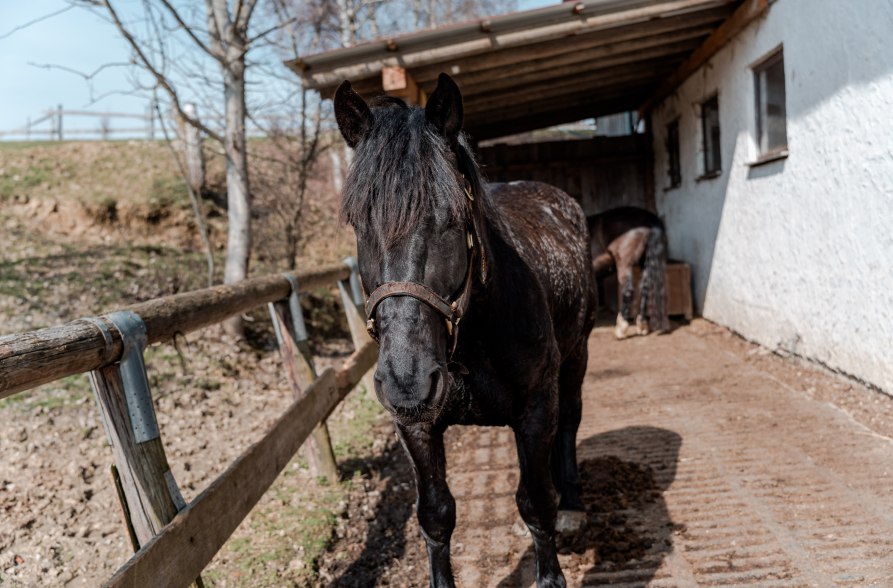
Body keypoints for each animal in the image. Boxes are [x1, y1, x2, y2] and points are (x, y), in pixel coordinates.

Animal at [334, 73, 597, 588]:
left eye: (452, 218)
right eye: (359, 224)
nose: (408, 380)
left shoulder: (536, 408)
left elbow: (536, 502)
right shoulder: (415, 425)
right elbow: (436, 515)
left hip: (578, 356)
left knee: (570, 423)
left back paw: (573, 505)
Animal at [587, 206, 670, 339]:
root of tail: (649, 219)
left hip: (624, 262)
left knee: (628, 290)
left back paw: (621, 328)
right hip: (644, 262)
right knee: (644, 289)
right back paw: (642, 325)